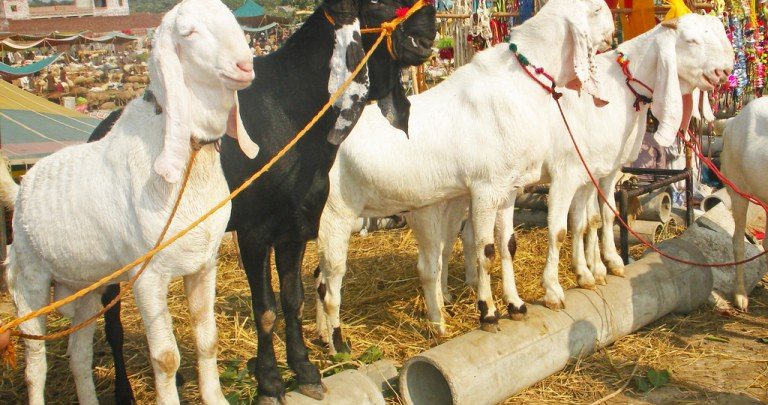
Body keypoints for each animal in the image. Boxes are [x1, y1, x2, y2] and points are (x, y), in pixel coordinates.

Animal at [1, 0, 257, 403]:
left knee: (78, 353)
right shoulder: (147, 276)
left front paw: (215, 397)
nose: (245, 65)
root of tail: (21, 189)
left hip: (88, 285)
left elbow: (208, 340)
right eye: (189, 32)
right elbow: (166, 357)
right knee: (35, 365)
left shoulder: (204, 264)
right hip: (29, 282)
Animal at [88, 0, 436, 402]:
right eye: (377, 5)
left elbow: (292, 299)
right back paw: (124, 391)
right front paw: (269, 381)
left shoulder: (296, 226)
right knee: (112, 323)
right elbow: (265, 308)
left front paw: (304, 370)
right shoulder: (254, 232)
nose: (429, 24)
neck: (290, 111)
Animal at [315, 0, 614, 347]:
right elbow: (484, 251)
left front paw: (516, 305)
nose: (613, 31)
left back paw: (323, 335)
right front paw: (488, 313)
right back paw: (338, 344)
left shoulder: (508, 189)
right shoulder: (485, 188)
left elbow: (507, 245)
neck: (516, 85)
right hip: (336, 213)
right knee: (331, 284)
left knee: (320, 277)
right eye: (596, 10)